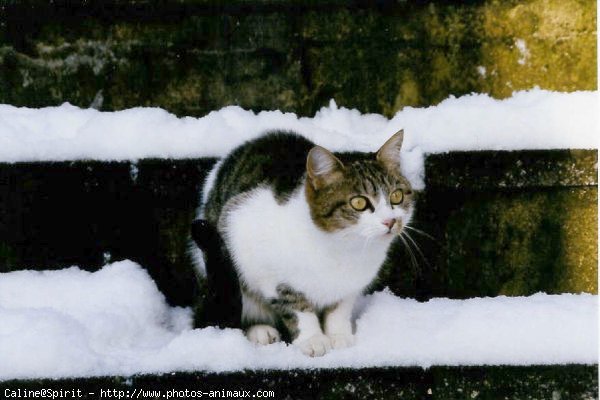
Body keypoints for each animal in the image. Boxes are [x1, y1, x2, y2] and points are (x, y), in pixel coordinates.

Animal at [190, 129, 414, 356]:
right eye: (359, 202)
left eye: (397, 196)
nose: (391, 221)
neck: (343, 248)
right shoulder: (259, 256)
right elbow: (297, 308)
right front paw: (312, 339)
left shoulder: (350, 286)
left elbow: (340, 309)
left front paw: (338, 335)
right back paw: (259, 330)